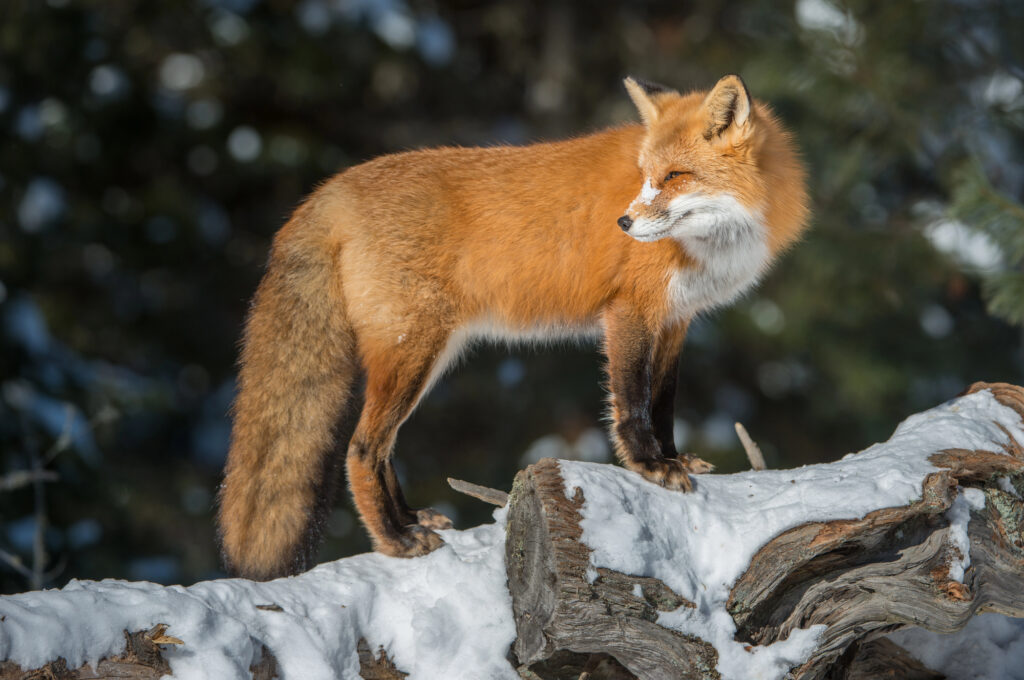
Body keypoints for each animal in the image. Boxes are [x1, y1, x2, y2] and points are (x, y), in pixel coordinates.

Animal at [217, 74, 809, 580]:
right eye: (647, 176)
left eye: (675, 176)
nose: (623, 222)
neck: (718, 243)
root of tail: (331, 187)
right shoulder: (630, 314)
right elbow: (632, 404)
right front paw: (648, 465)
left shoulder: (676, 319)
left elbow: (663, 403)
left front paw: (673, 458)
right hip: (413, 354)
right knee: (361, 448)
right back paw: (395, 541)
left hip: (429, 355)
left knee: (381, 448)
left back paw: (409, 520)